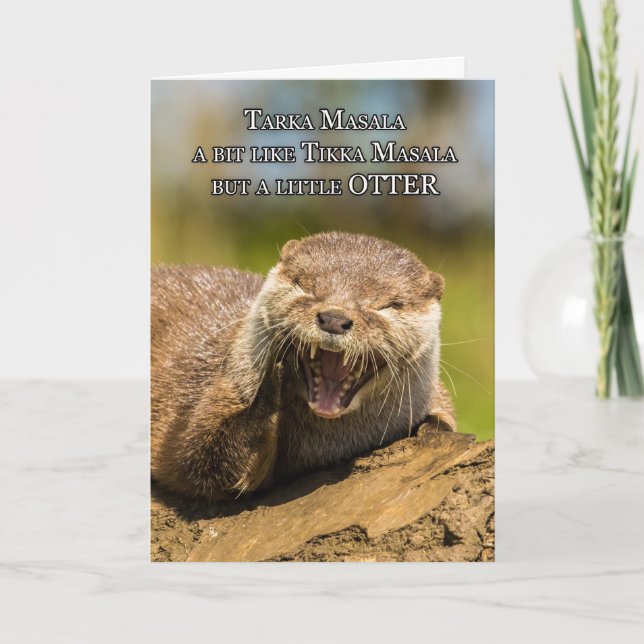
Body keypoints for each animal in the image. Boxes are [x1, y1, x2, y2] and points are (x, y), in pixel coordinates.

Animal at [151, 232, 455, 500]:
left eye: (388, 305)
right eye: (305, 287)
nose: (334, 318)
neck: (322, 447)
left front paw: (435, 428)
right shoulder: (216, 390)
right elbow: (199, 460)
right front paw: (274, 379)